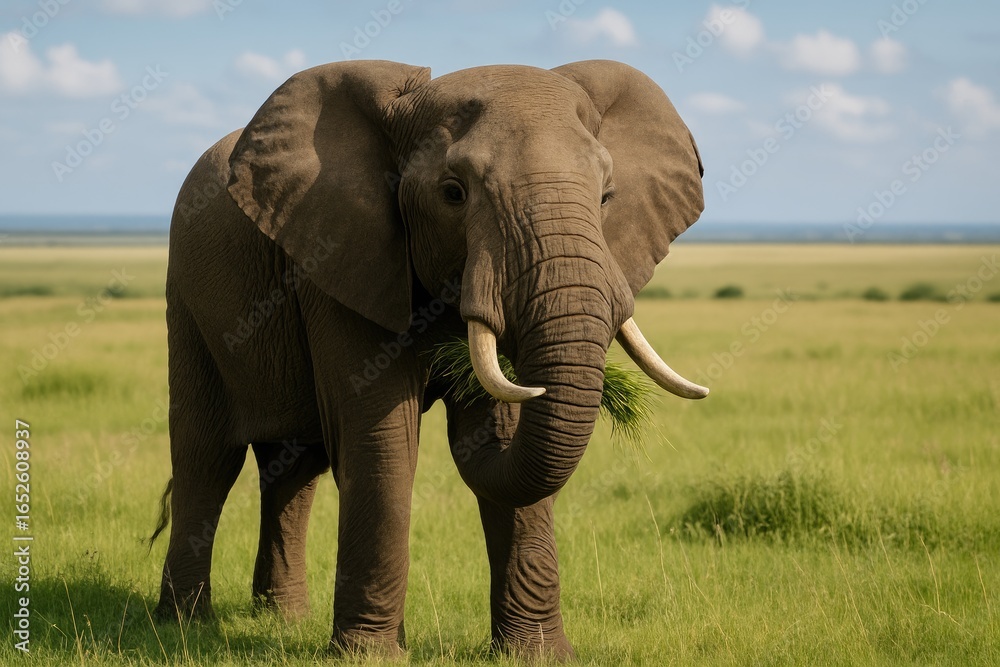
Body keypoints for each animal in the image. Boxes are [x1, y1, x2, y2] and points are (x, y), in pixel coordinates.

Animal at [153, 58, 707, 659]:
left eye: (606, 198)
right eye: (452, 193)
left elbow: (502, 431)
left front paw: (537, 656)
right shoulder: (338, 258)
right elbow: (383, 439)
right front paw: (369, 657)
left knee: (294, 467)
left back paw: (282, 621)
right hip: (187, 299)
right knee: (206, 457)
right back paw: (183, 624)